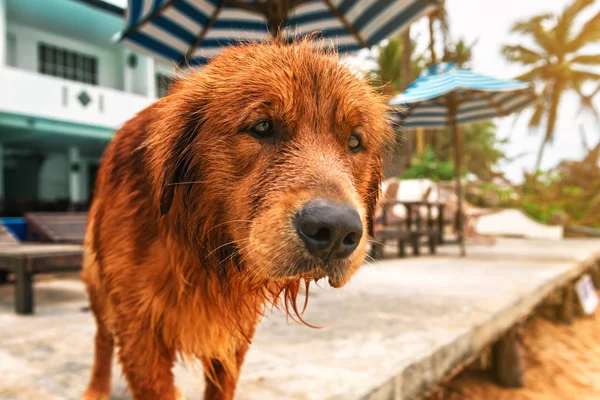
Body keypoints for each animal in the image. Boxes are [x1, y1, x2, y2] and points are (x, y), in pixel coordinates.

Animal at [82, 38, 394, 400]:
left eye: (354, 141)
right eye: (262, 126)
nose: (335, 231)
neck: (202, 252)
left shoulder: (234, 333)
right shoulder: (139, 331)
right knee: (102, 335)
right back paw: (96, 387)